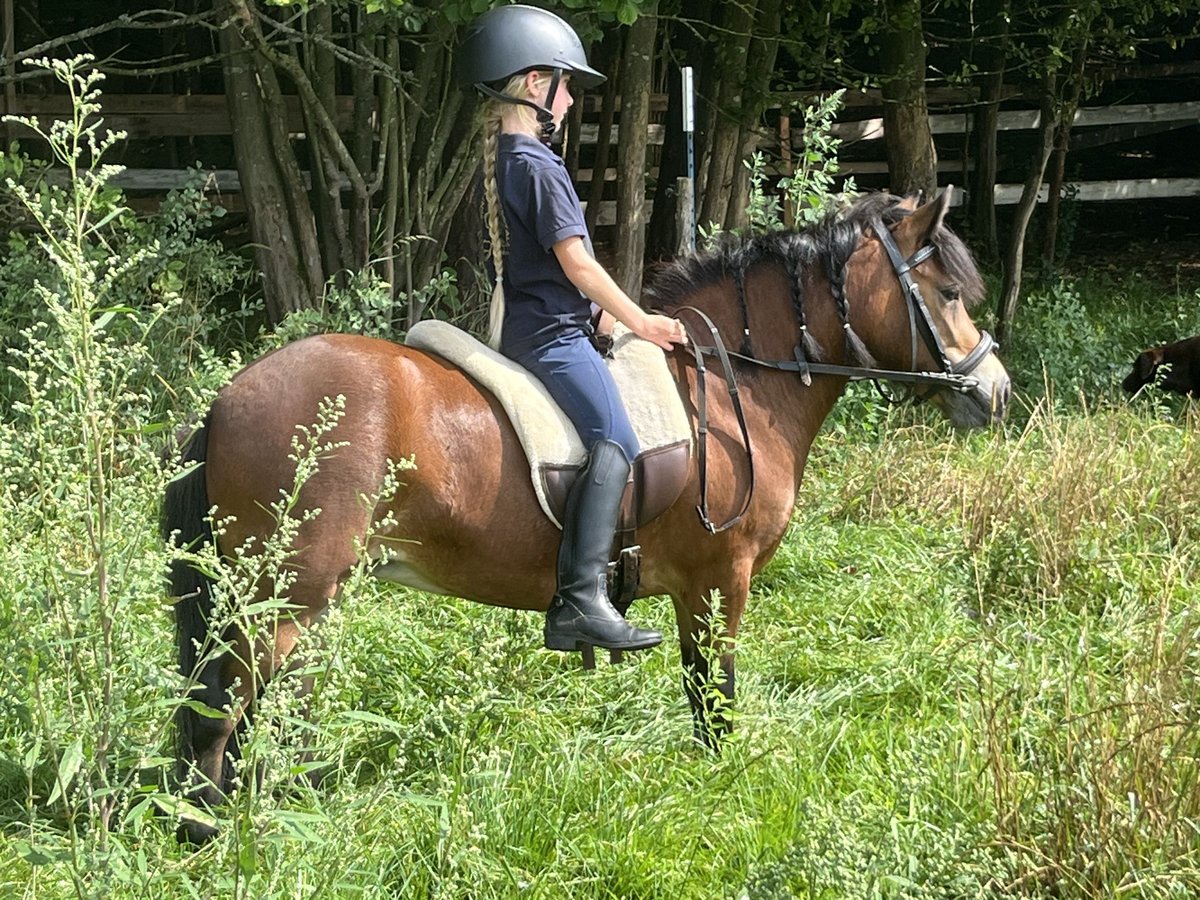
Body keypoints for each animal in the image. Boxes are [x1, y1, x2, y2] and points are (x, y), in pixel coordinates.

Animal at [164, 187, 1012, 844]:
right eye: (947, 295)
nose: (995, 392)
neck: (733, 387)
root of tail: (229, 398)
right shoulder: (719, 578)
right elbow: (715, 697)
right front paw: (724, 791)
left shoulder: (696, 588)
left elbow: (700, 691)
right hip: (285, 602)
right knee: (226, 714)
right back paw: (217, 837)